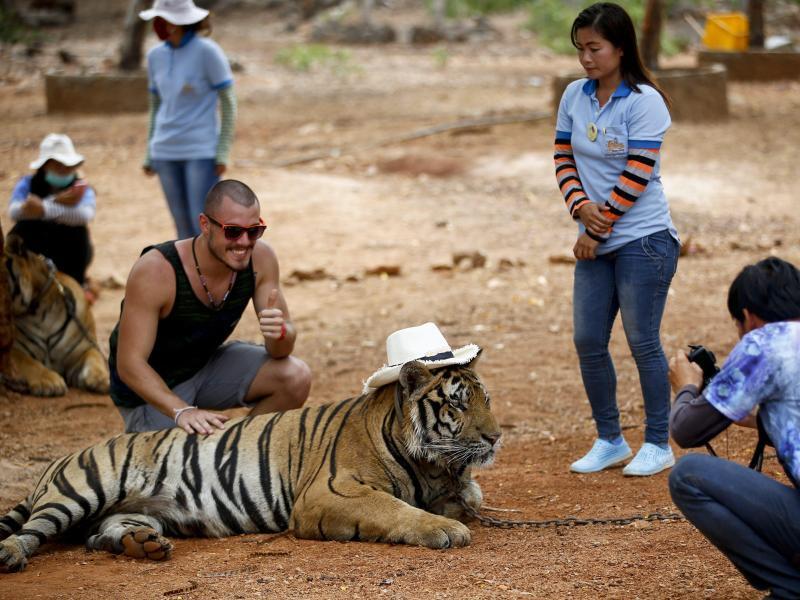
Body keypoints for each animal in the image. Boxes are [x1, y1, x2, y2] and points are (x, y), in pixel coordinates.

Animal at [0, 356, 500, 572]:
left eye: (487, 399)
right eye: (457, 403)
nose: (496, 436)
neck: (431, 465)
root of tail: (61, 458)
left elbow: (468, 497)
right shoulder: (328, 492)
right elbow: (393, 508)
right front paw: (446, 530)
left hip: (134, 511)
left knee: (98, 535)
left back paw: (141, 546)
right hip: (82, 490)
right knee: (35, 531)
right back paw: (11, 555)